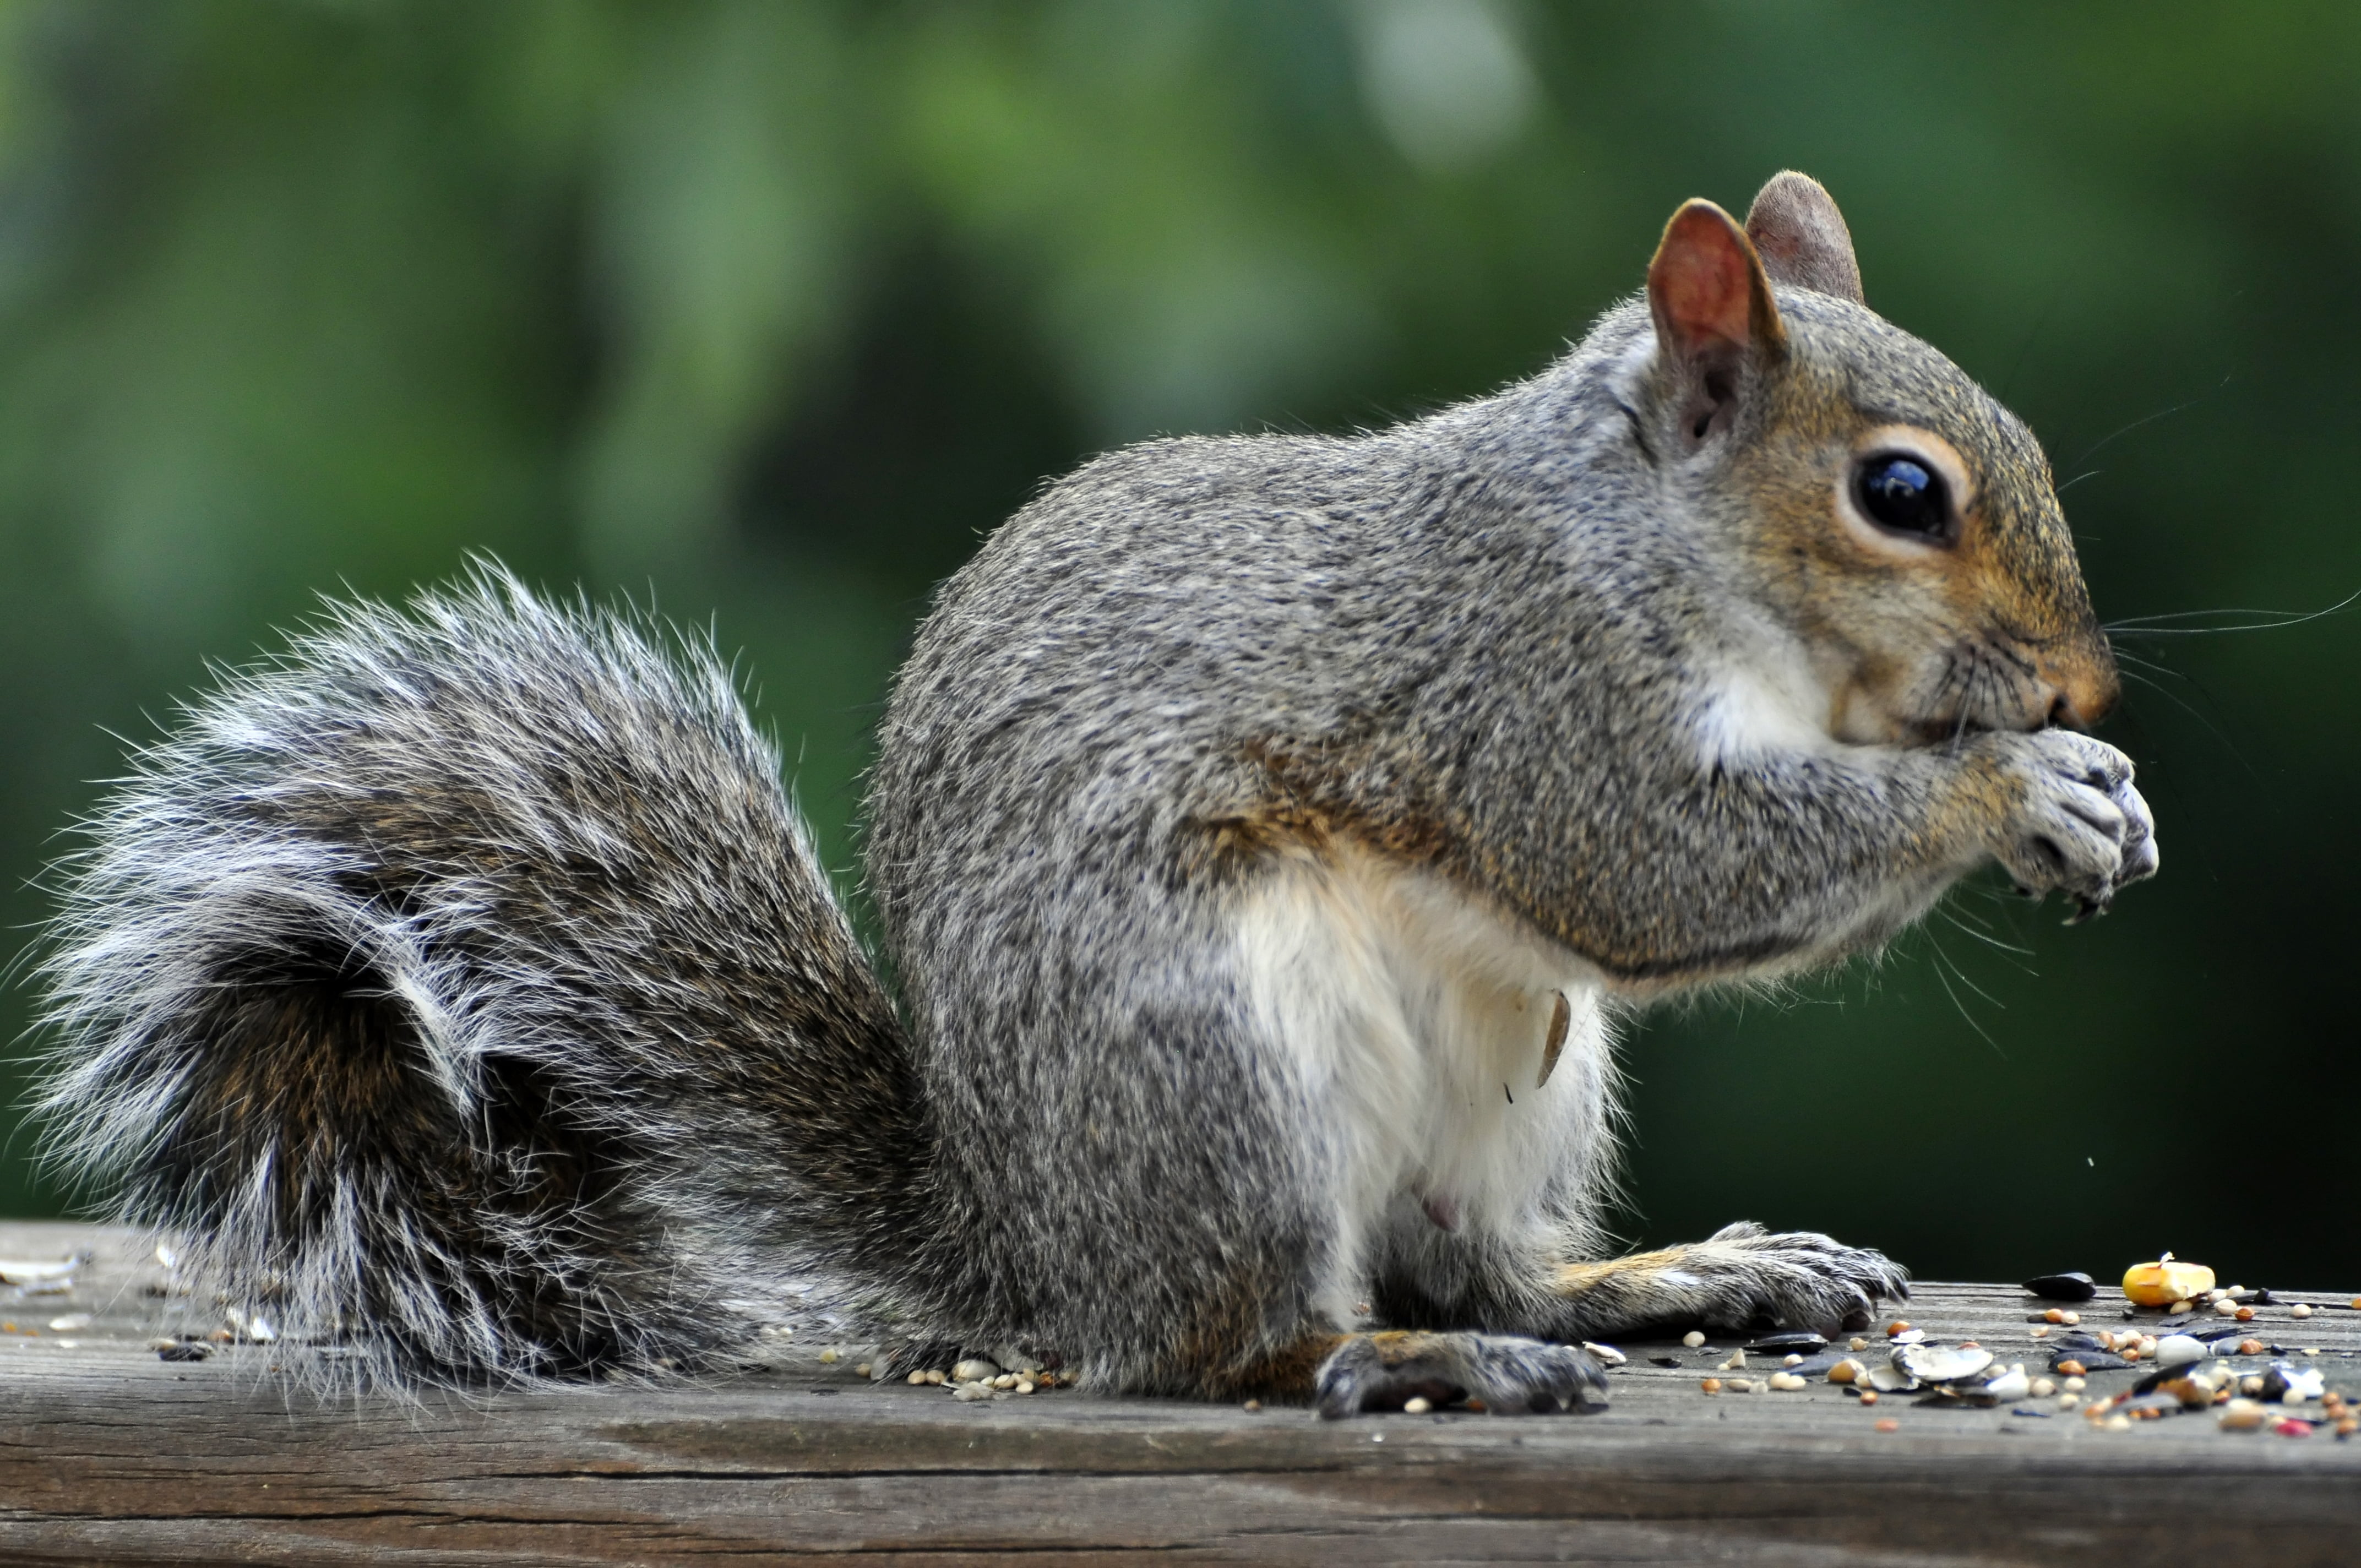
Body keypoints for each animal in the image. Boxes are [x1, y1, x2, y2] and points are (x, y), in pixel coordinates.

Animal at [32, 172, 2155, 1417]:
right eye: (1899, 492)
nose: (2080, 685)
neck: (1651, 537)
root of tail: (1028, 1240)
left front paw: (2090, 782)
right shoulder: (1522, 683)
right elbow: (1652, 862)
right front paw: (2016, 789)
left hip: (1516, 1085)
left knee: (1470, 1252)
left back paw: (1665, 1280)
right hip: (1212, 1054)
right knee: (1234, 1344)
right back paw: (1408, 1358)